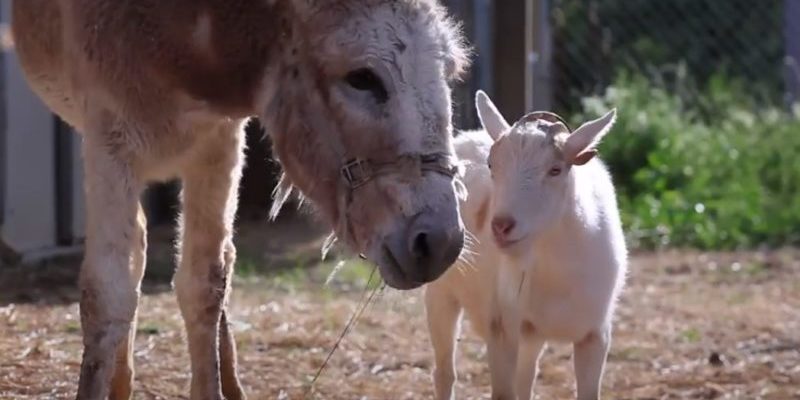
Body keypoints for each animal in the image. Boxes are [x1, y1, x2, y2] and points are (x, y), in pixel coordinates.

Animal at [428, 91, 628, 400]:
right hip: (442, 291)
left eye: (555, 170)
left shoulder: (594, 335)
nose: (501, 226)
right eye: (491, 165)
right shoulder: (502, 327)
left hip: (531, 333)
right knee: (444, 372)